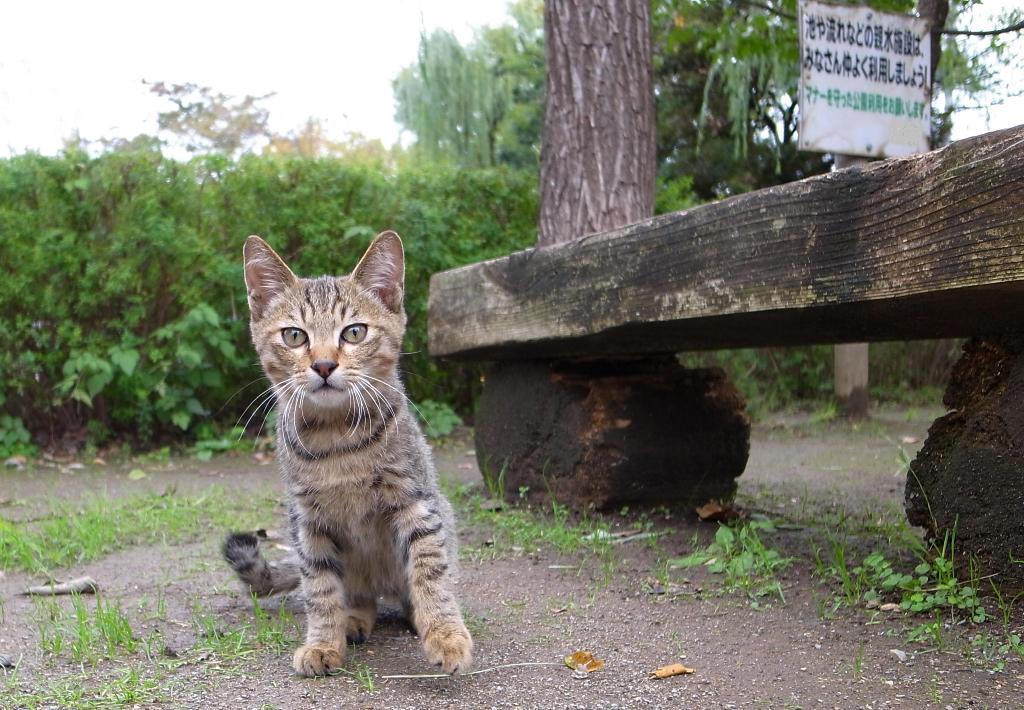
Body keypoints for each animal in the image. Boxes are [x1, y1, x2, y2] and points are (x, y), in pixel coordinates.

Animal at [224, 231, 471, 676]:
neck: (336, 437)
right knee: (357, 595)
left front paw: (446, 635)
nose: (323, 365)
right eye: (294, 336)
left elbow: (431, 573)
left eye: (354, 333)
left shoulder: (416, 503)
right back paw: (353, 620)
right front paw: (323, 643)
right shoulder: (308, 523)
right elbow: (320, 589)